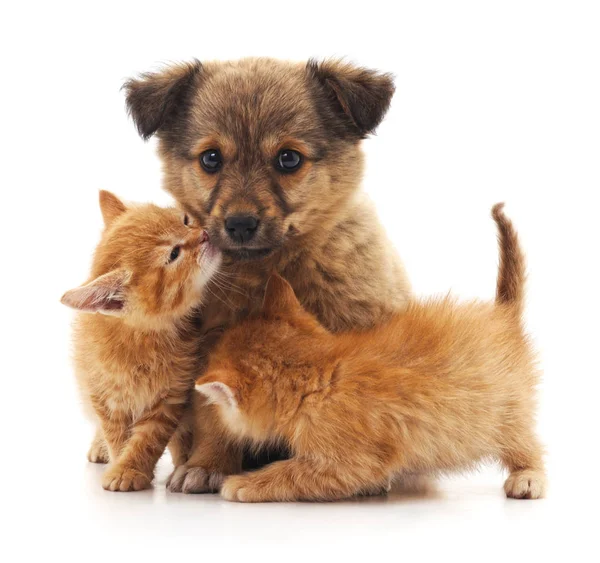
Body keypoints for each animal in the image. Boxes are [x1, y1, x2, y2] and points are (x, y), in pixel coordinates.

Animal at [61, 192, 221, 492]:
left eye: (185, 220)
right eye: (173, 254)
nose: (205, 234)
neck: (142, 339)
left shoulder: (172, 395)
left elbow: (148, 438)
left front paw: (131, 469)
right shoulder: (102, 393)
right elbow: (117, 435)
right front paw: (121, 465)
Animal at [123, 58, 410, 494]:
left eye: (288, 159)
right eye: (211, 158)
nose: (241, 224)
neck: (266, 270)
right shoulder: (209, 352)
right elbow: (216, 415)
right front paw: (208, 465)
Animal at [199, 205, 548, 504]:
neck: (320, 370)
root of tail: (502, 316)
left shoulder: (347, 460)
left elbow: (294, 474)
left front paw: (244, 483)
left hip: (509, 411)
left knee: (526, 443)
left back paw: (528, 476)